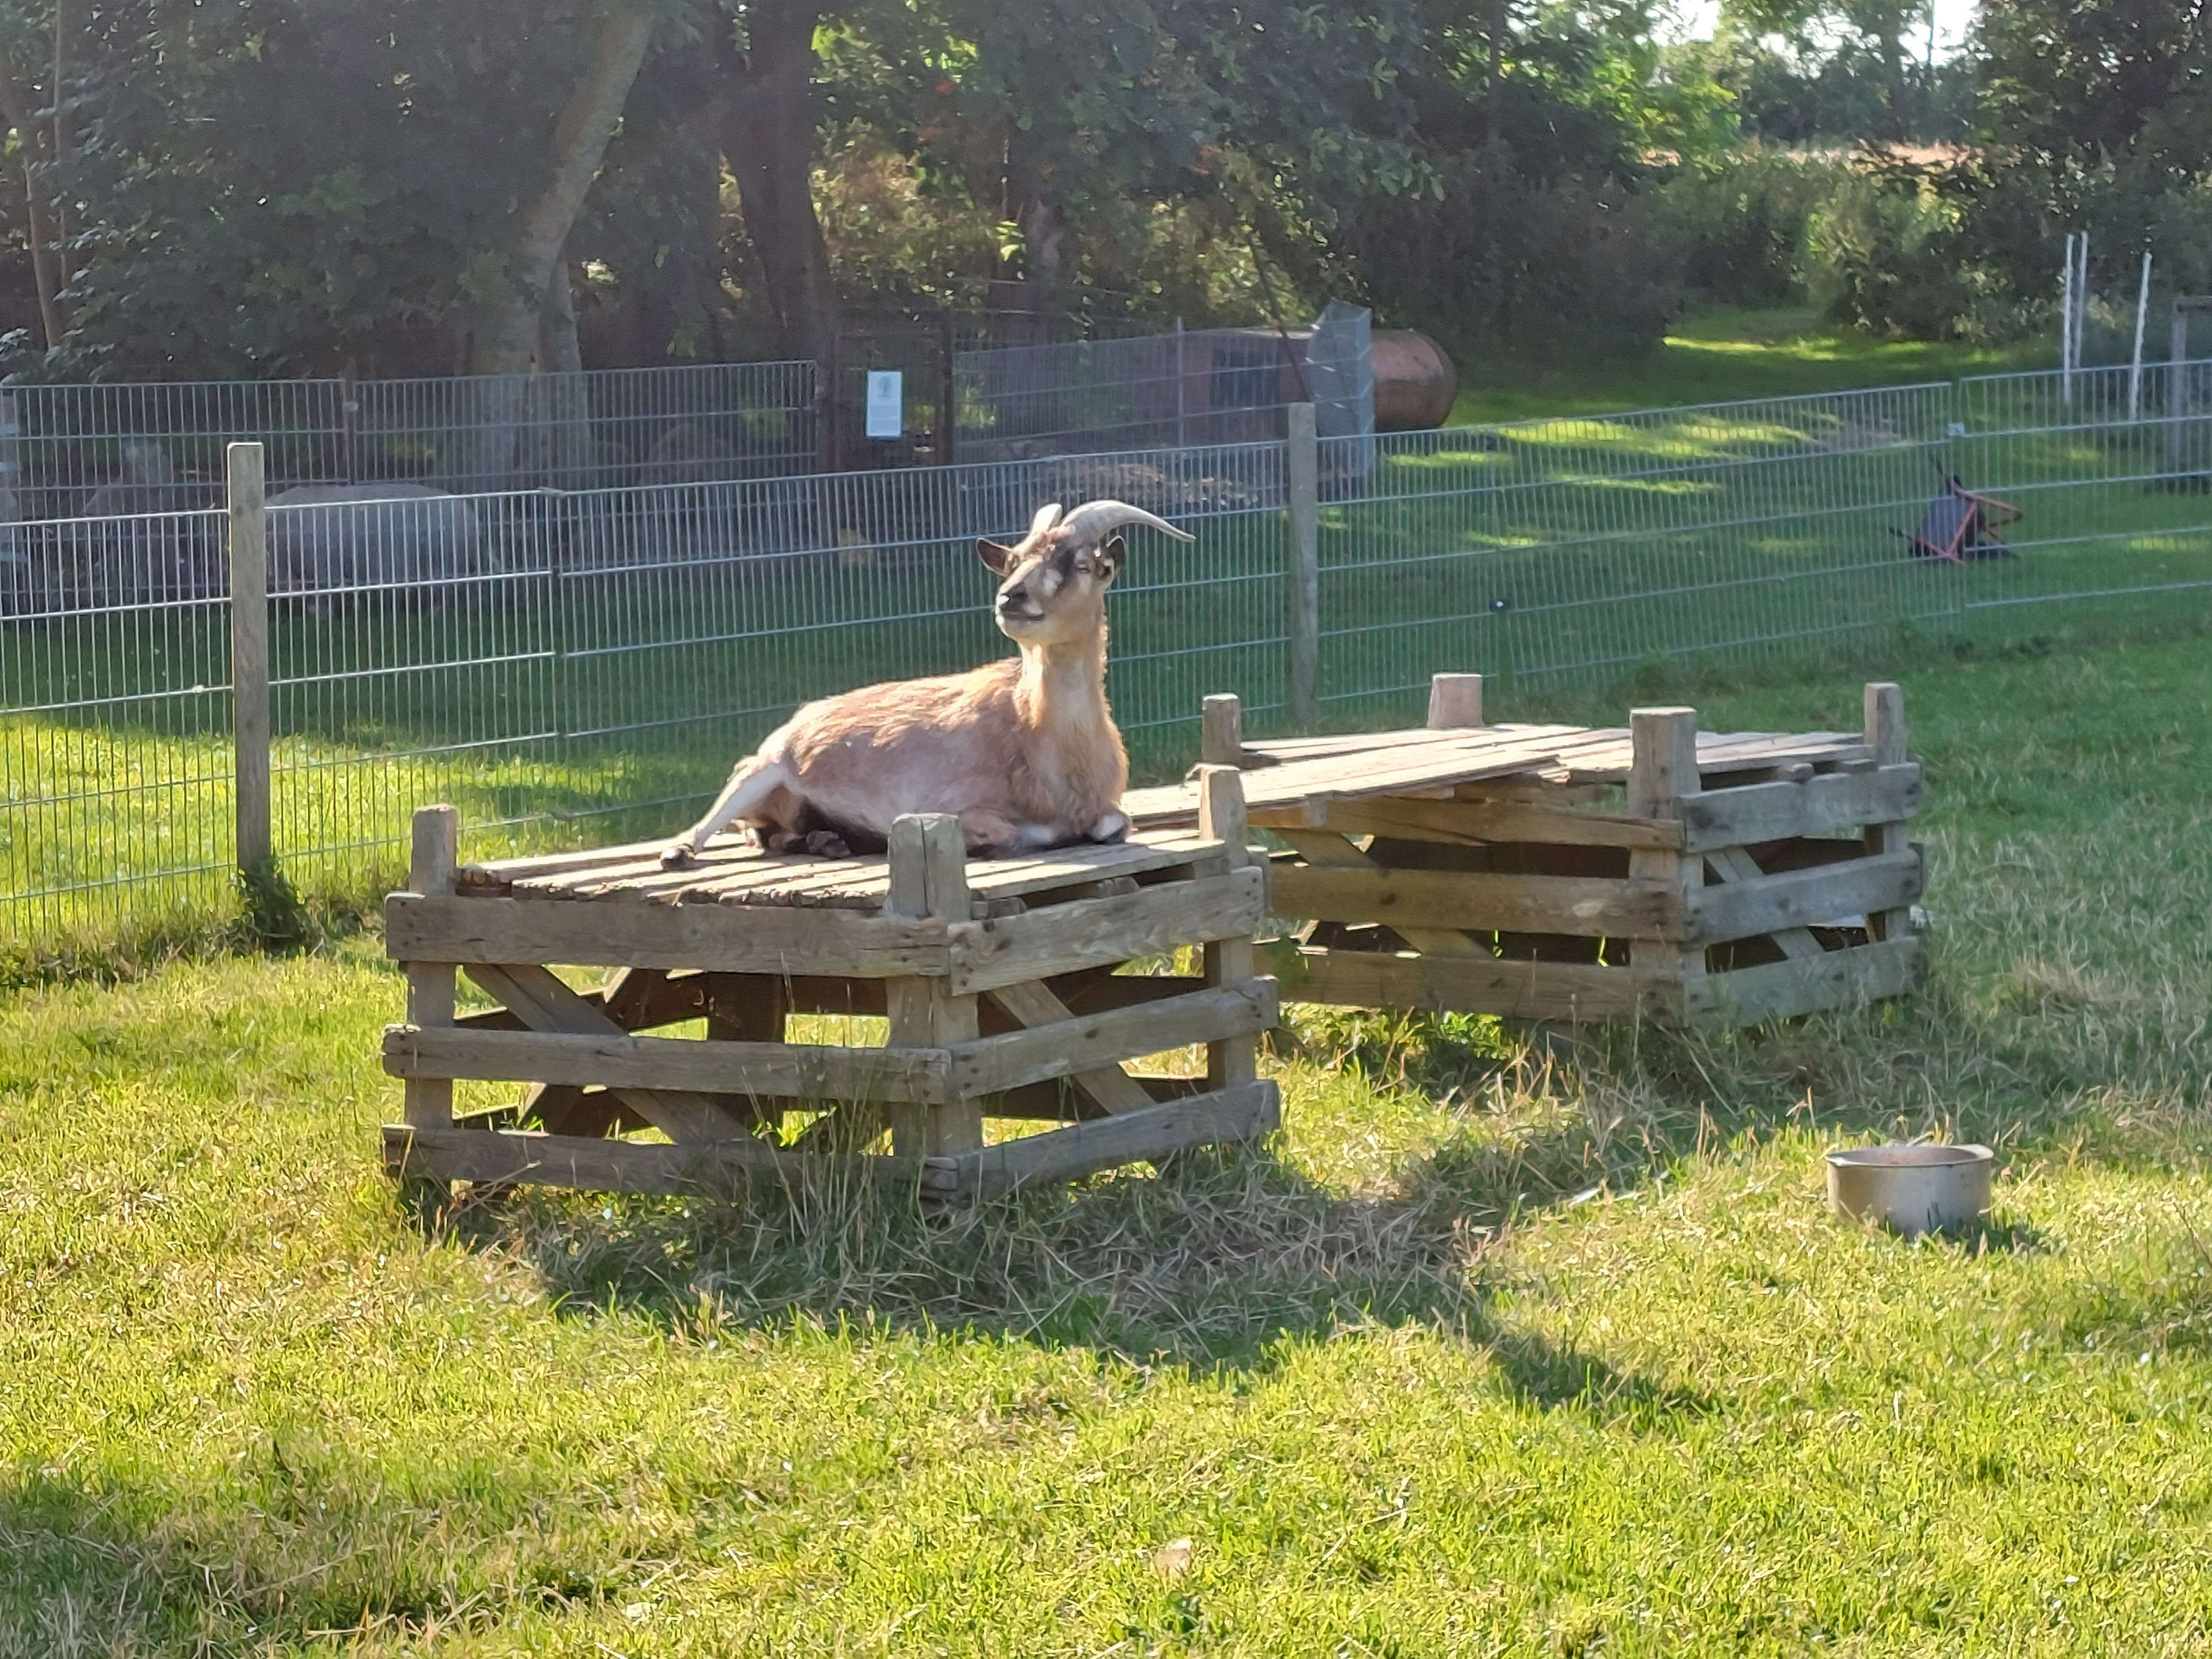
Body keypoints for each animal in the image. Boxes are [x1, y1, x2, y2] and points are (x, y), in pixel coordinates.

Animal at [654, 500, 1194, 876]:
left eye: (1083, 565)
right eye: (1014, 560)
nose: (1011, 598)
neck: (1042, 742)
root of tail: (799, 719)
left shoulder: (1107, 808)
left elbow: (1114, 826)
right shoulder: (954, 805)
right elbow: (1010, 835)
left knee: (772, 836)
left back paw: (827, 841)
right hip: (761, 771)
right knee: (715, 827)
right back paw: (679, 853)